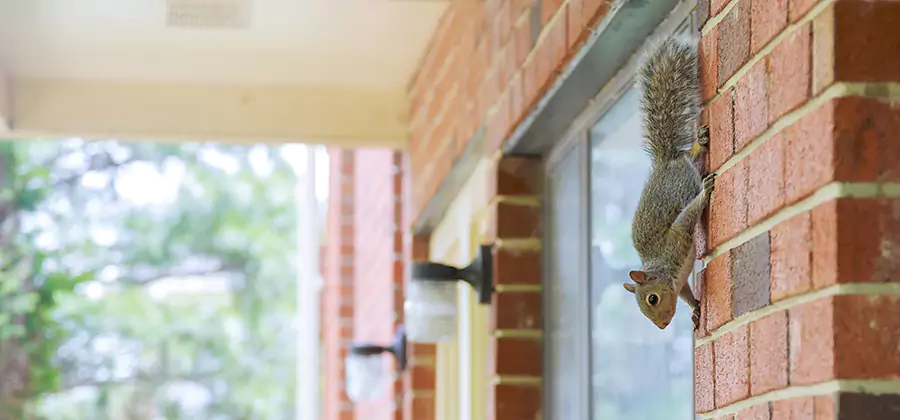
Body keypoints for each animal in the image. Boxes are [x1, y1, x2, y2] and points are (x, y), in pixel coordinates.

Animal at [623, 35, 715, 332]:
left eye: (652, 298)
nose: (662, 326)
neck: (663, 266)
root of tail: (665, 161)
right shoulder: (680, 281)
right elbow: (685, 293)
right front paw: (695, 308)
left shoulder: (676, 240)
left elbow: (685, 219)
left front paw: (705, 193)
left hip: (683, 174)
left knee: (690, 157)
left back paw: (700, 143)